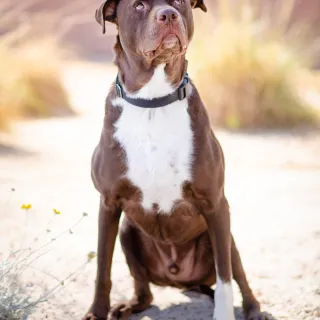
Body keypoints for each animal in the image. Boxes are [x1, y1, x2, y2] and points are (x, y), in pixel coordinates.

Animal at [82, 0, 270, 320]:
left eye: (180, 1)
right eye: (138, 5)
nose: (168, 14)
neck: (153, 101)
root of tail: (178, 279)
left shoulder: (215, 202)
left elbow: (225, 279)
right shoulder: (108, 203)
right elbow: (102, 268)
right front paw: (97, 311)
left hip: (225, 235)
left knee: (238, 275)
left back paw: (254, 309)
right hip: (128, 231)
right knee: (143, 288)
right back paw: (130, 305)